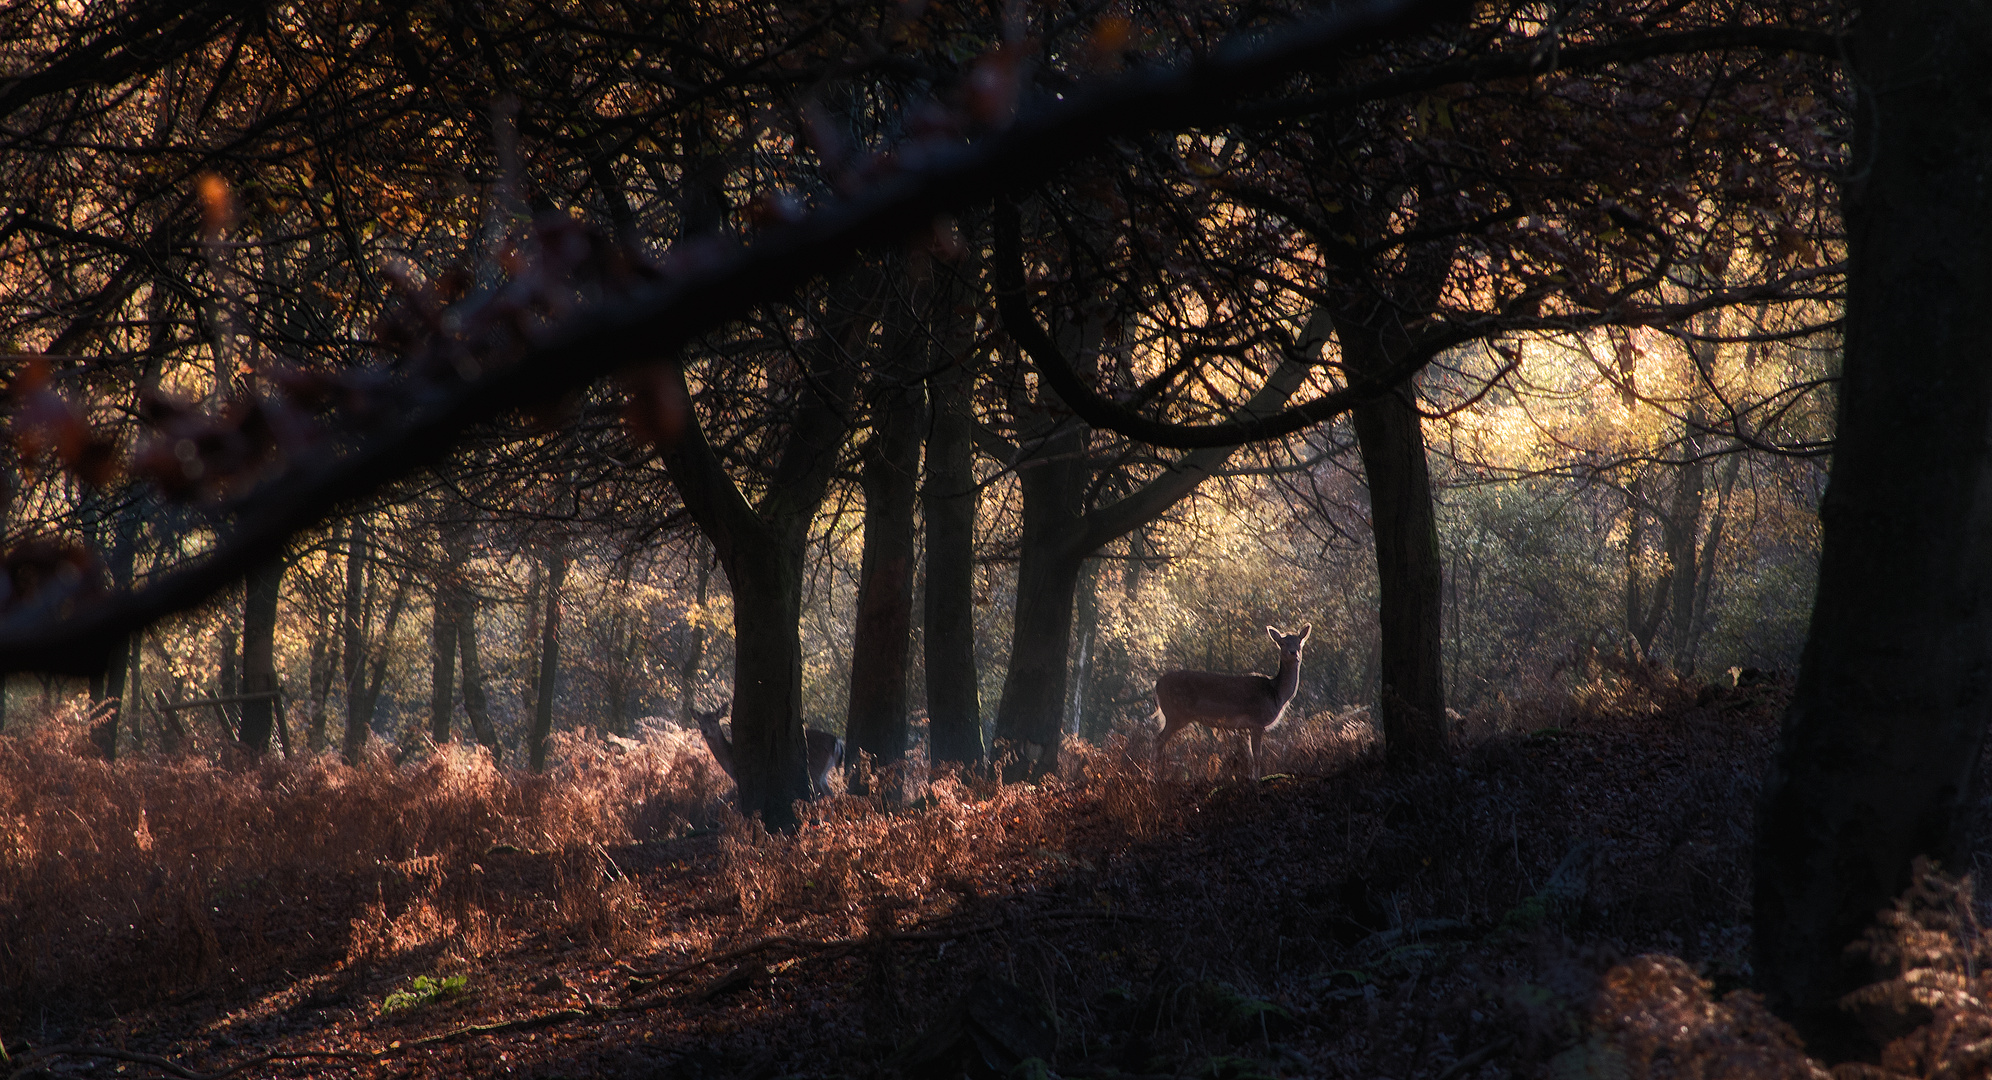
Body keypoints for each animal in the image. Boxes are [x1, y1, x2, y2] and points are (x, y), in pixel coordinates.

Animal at [689, 701, 844, 805]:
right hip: (823, 773)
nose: (705, 731)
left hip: (815, 769)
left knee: (822, 795)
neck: (730, 758)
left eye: (715, 720)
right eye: (700, 721)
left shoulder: (741, 778)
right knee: (831, 794)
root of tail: (836, 741)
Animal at [1155, 625, 1306, 789]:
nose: (1294, 653)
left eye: (1299, 642)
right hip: (1175, 714)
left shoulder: (1247, 726)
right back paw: (1155, 775)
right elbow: (1257, 755)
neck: (1276, 694)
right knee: (1159, 739)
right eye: (1282, 643)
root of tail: (1156, 685)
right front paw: (1256, 779)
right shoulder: (1258, 721)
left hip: (1173, 715)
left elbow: (1250, 754)